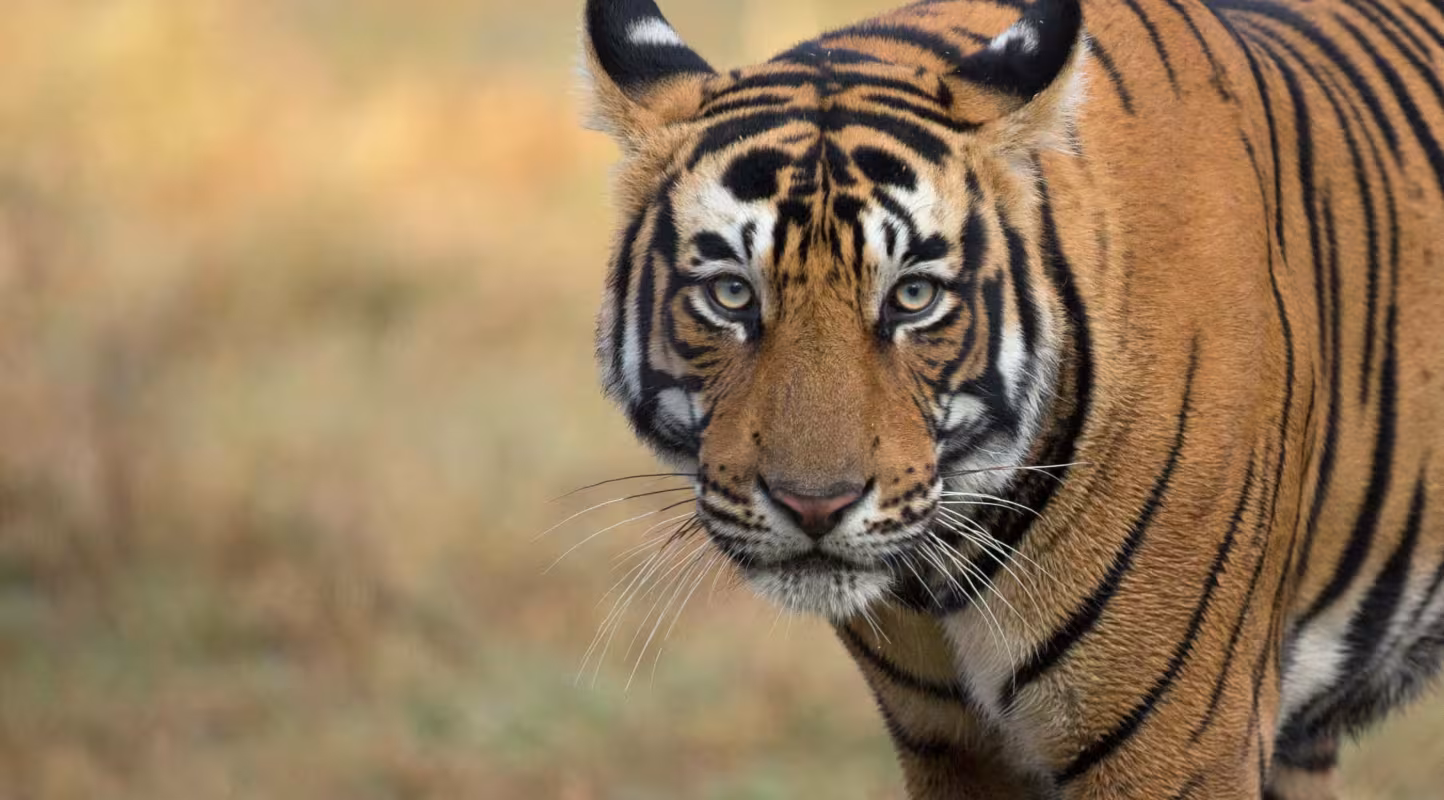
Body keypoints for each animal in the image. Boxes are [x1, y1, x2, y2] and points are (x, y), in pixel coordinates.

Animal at [578, 0, 1444, 796]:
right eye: (730, 293)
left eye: (914, 296)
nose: (814, 507)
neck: (944, 578)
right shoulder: (952, 746)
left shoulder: (1179, 744)